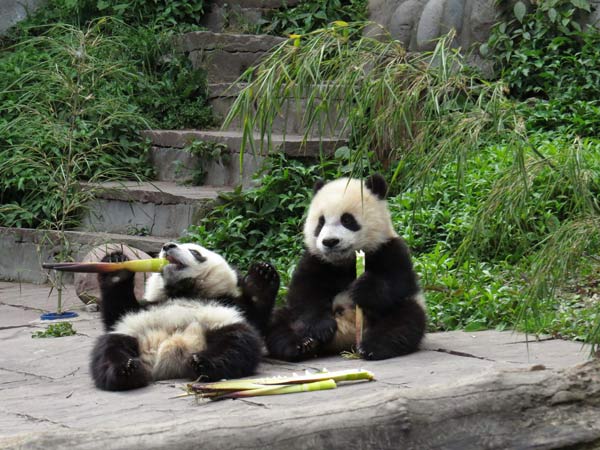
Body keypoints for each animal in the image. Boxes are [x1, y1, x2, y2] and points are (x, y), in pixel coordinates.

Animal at [90, 241, 280, 392]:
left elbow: (254, 318)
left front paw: (260, 277)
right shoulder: (143, 309)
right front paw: (116, 266)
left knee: (238, 342)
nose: (167, 246)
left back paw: (201, 363)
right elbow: (117, 313)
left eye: (195, 252)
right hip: (133, 333)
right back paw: (127, 370)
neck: (182, 291)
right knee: (110, 348)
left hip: (220, 326)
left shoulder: (229, 304)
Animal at [264, 174, 424, 360]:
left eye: (347, 219)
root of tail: (344, 343)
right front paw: (321, 328)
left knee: (404, 320)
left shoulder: (389, 249)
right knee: (278, 323)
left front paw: (363, 288)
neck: (345, 261)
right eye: (321, 222)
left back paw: (372, 347)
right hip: (291, 317)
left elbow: (398, 283)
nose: (330, 241)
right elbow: (305, 292)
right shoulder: (316, 259)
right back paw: (301, 345)